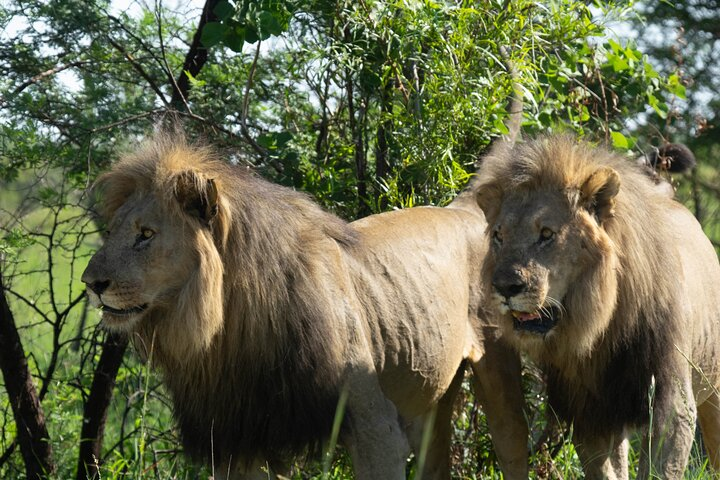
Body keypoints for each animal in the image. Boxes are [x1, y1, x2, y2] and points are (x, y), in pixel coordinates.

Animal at [81, 132, 528, 480]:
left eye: (146, 234)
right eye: (112, 231)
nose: (91, 284)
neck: (230, 332)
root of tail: (462, 208)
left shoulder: (375, 427)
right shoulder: (235, 441)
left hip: (499, 377)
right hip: (432, 397)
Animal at [472, 135, 720, 480]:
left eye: (546, 234)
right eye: (498, 236)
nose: (505, 287)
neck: (604, 323)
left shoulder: (672, 406)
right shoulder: (591, 413)